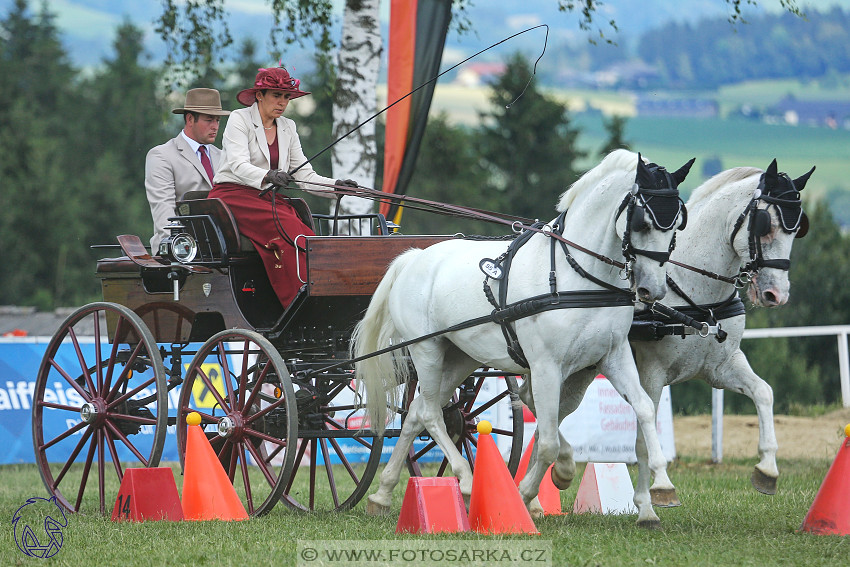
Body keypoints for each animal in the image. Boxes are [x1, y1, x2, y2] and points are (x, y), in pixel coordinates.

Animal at [352, 149, 688, 524]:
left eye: (677, 225)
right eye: (642, 223)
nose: (652, 289)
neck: (577, 276)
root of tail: (412, 259)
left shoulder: (612, 356)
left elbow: (642, 408)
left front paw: (658, 491)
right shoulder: (545, 366)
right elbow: (548, 440)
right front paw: (530, 491)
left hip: (459, 356)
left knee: (417, 411)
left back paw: (381, 495)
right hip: (428, 349)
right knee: (429, 414)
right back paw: (466, 481)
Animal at [548, 156, 812, 528]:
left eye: (797, 228)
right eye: (765, 225)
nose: (777, 294)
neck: (693, 293)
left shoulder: (721, 366)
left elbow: (764, 392)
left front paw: (767, 470)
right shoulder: (652, 374)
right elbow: (643, 441)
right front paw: (651, 502)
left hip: (577, 373)